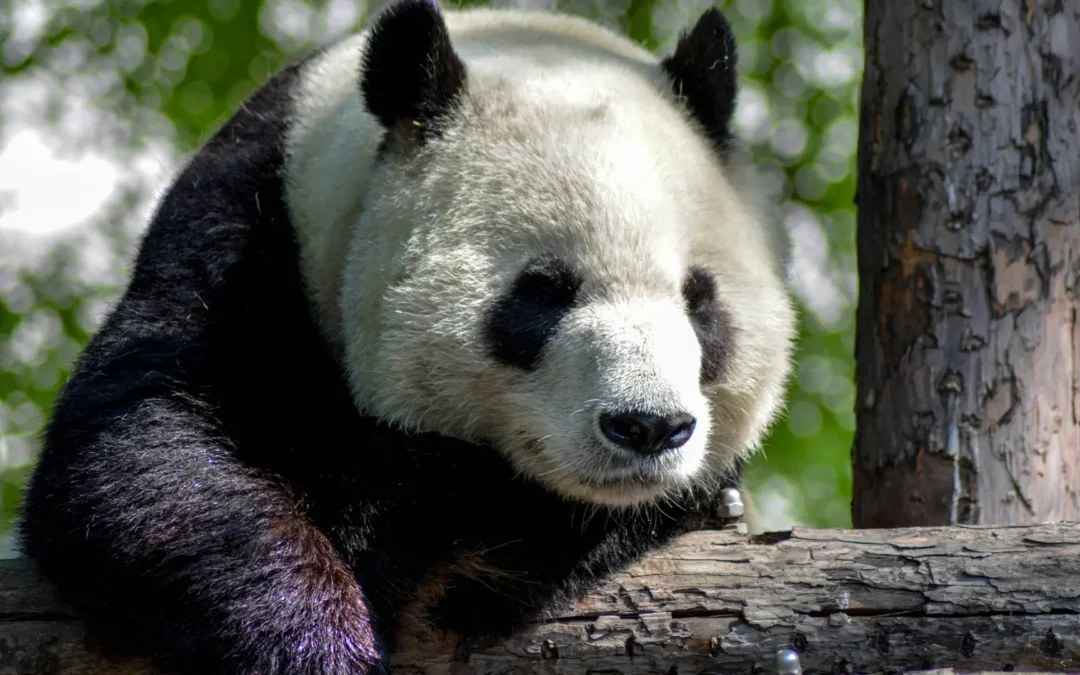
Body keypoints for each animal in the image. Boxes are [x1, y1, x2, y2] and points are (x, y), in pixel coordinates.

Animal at [18, 1, 796, 673]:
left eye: (699, 300)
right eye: (542, 292)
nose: (647, 427)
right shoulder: (245, 234)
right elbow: (145, 451)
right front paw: (322, 642)